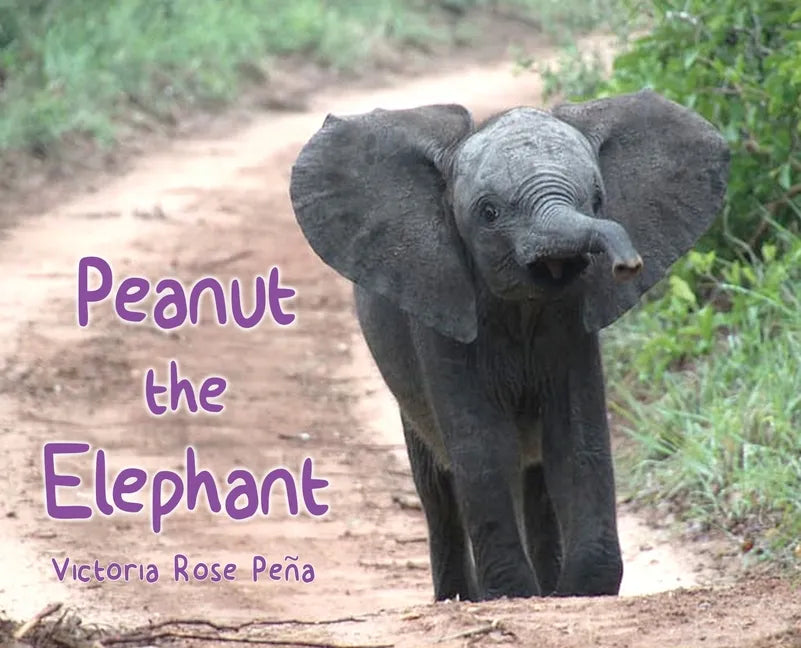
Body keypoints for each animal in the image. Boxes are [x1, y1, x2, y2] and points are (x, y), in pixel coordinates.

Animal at [288, 90, 729, 601]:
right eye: (489, 213)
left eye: (598, 199)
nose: (627, 264)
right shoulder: (441, 309)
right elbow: (484, 446)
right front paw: (511, 592)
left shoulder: (573, 321)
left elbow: (574, 438)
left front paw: (584, 589)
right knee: (437, 487)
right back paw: (461, 597)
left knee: (534, 477)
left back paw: (546, 587)